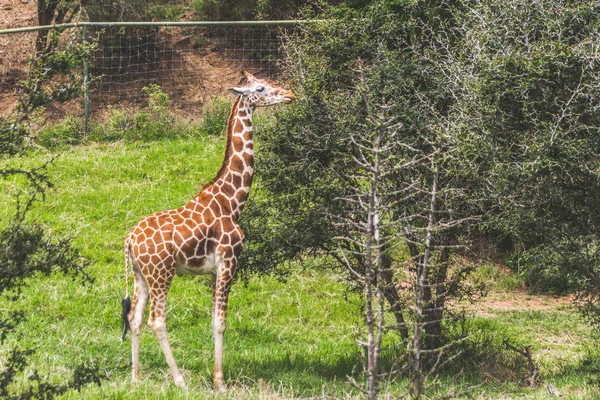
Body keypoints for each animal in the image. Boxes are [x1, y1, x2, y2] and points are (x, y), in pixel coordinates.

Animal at [121, 69, 296, 390]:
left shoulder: (214, 270)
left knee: (135, 318)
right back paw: (179, 381)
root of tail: (128, 241)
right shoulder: (229, 261)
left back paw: (136, 378)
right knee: (157, 320)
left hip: (141, 276)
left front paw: (217, 379)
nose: (290, 94)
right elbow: (221, 322)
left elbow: (214, 321)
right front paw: (220, 382)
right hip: (162, 274)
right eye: (261, 88)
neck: (232, 201)